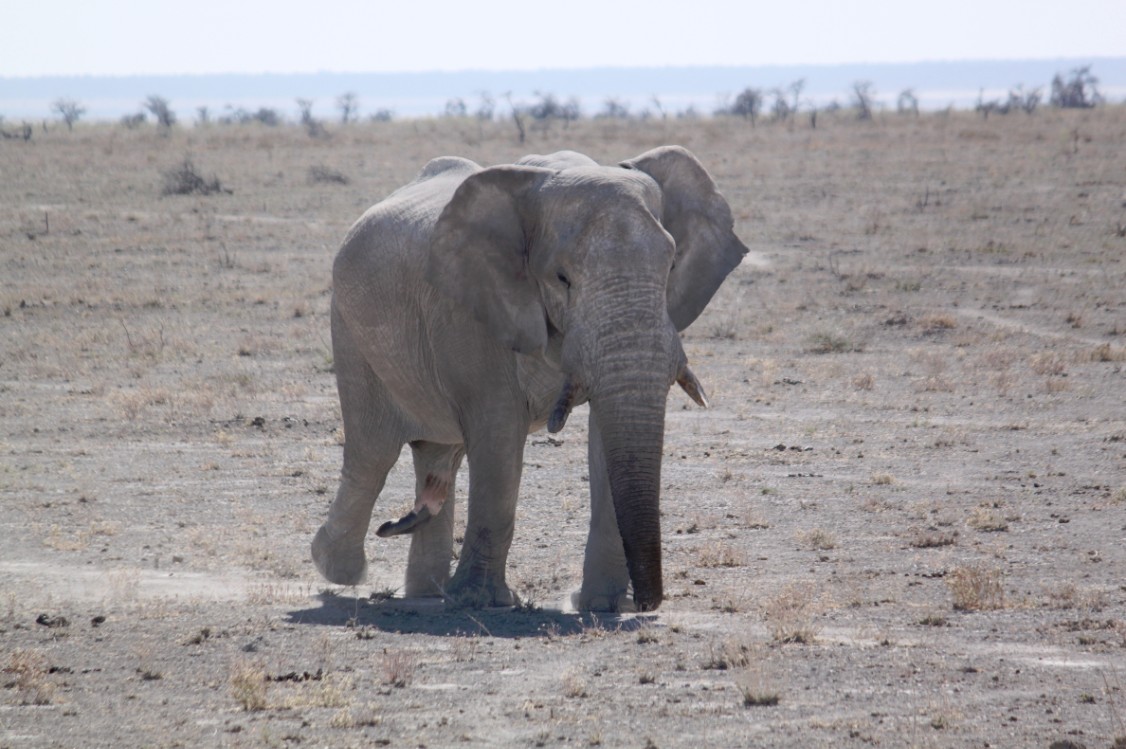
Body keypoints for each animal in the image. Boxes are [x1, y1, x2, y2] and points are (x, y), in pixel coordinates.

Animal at [308, 147, 747, 612]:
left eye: (671, 266)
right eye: (562, 278)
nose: (647, 604)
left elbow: (603, 439)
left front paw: (603, 606)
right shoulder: (473, 308)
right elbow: (498, 434)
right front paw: (484, 601)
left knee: (436, 456)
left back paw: (426, 591)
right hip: (349, 329)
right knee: (373, 452)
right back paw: (342, 569)